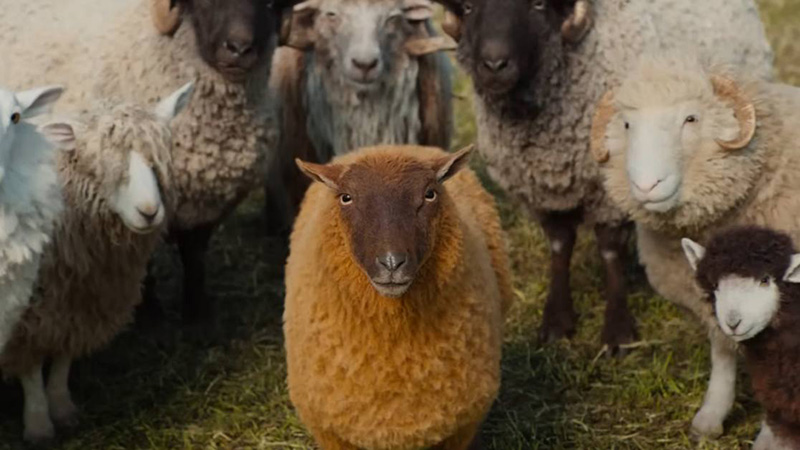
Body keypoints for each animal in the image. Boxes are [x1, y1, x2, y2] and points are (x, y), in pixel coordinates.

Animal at [0, 0, 298, 323]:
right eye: (206, 3)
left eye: (270, 5)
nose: (239, 49)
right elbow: (148, 262)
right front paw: (149, 312)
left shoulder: (207, 206)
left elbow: (195, 258)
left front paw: (198, 313)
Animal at [0, 82, 194, 445]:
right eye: (100, 164)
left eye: (159, 162)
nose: (149, 211)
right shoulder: (29, 313)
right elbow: (31, 368)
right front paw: (39, 424)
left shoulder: (81, 301)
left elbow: (64, 357)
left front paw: (62, 407)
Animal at [284, 145, 512, 449]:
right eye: (346, 197)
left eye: (430, 194)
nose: (391, 262)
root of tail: (386, 145)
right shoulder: (331, 433)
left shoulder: (461, 429)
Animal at [427, 0, 774, 358]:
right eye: (469, 7)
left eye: (538, 5)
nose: (495, 65)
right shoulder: (542, 191)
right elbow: (559, 245)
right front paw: (556, 321)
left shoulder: (610, 192)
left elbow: (610, 252)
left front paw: (618, 332)